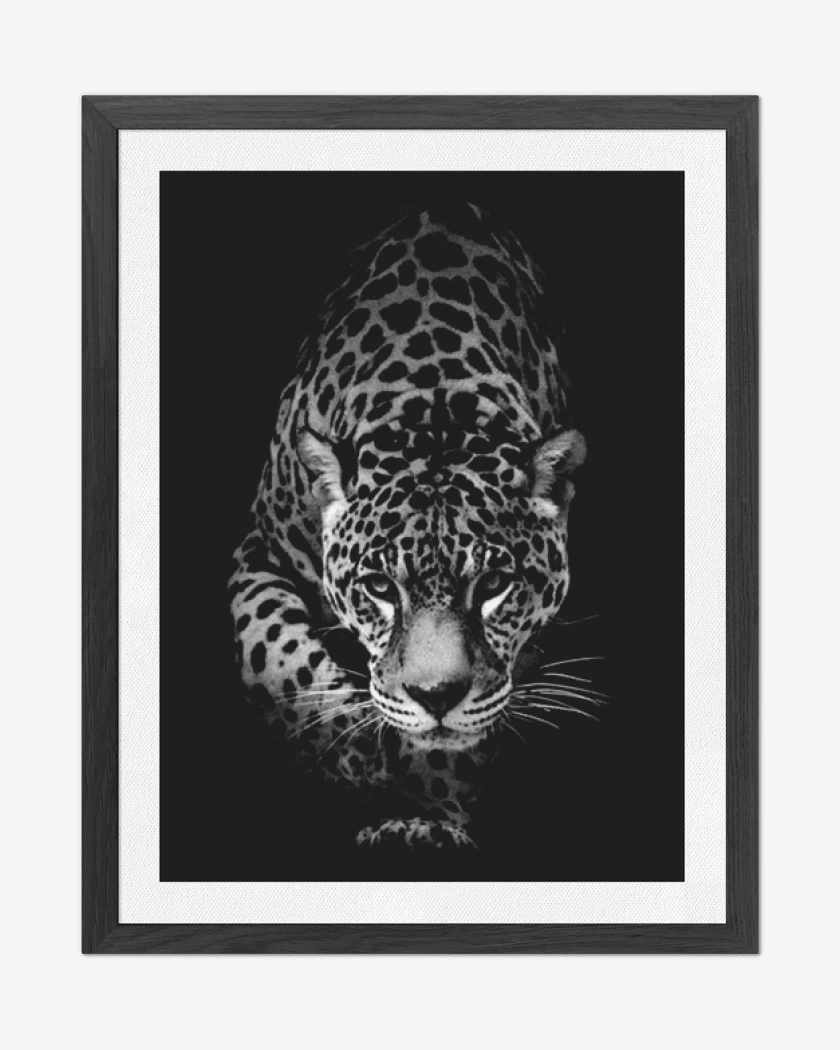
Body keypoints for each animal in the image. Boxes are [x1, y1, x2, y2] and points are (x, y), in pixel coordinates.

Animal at [229, 200, 587, 851]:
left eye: (493, 585)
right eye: (378, 588)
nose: (436, 697)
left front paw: (425, 814)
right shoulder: (259, 551)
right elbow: (272, 653)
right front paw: (353, 751)